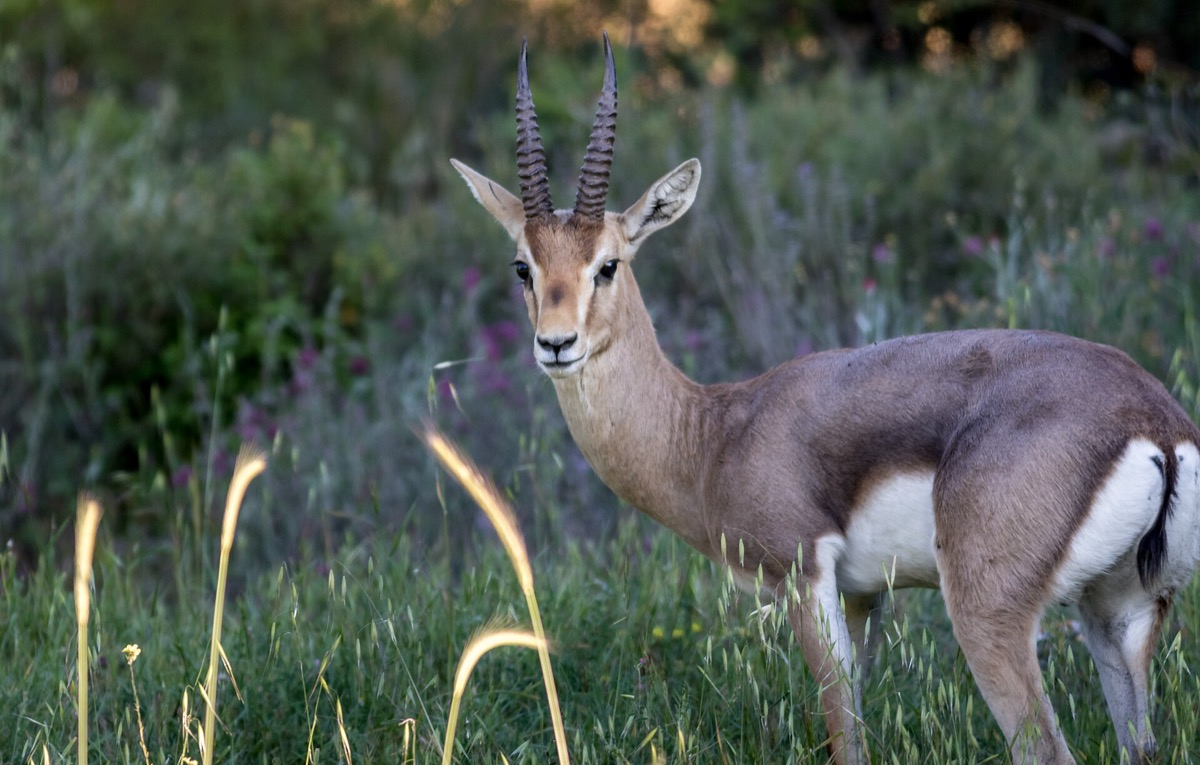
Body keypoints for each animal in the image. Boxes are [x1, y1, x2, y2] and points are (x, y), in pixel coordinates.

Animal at [449, 33, 1200, 764]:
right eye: (523, 266)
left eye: (607, 264)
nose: (556, 343)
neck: (713, 433)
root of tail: (1156, 423)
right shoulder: (863, 594)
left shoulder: (803, 575)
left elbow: (845, 733)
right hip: (1120, 611)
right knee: (1141, 744)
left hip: (991, 614)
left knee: (1045, 748)